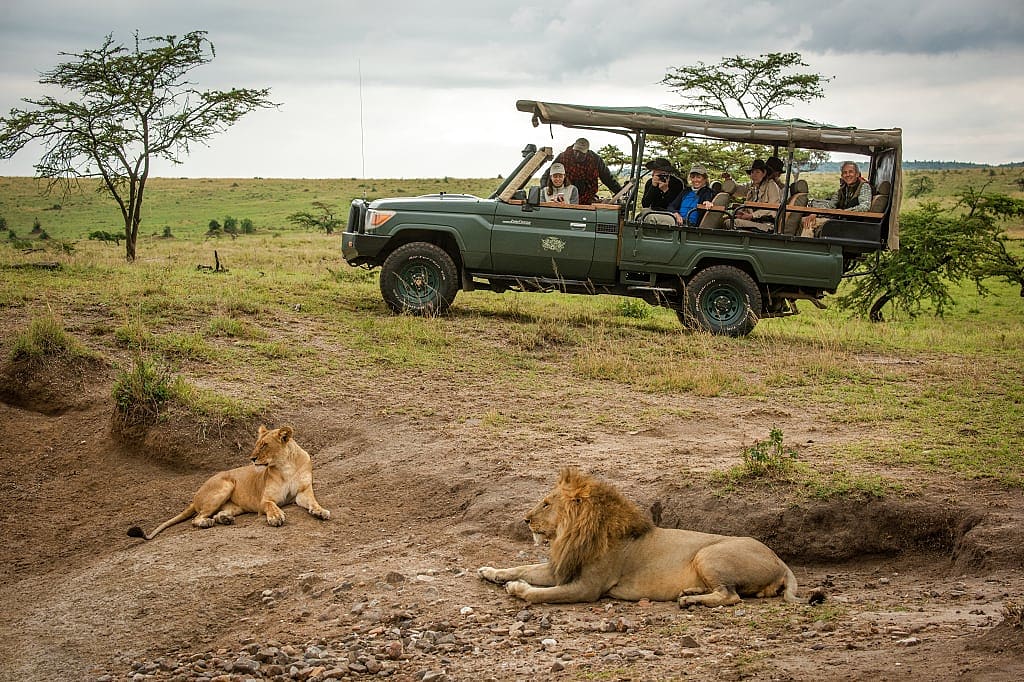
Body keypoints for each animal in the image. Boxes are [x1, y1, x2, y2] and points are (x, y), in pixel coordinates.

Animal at [127, 425, 330, 540]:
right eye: (257, 444)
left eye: (264, 445)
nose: (252, 459)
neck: (285, 465)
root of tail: (195, 497)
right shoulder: (264, 500)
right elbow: (271, 506)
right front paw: (276, 517)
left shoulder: (303, 492)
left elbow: (313, 502)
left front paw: (321, 512)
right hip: (226, 485)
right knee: (196, 518)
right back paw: (207, 523)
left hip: (234, 505)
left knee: (217, 513)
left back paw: (225, 519)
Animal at [478, 467, 799, 607]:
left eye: (546, 503)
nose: (525, 519)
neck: (571, 534)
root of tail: (781, 561)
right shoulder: (561, 568)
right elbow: (522, 567)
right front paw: (490, 571)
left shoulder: (588, 588)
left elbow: (540, 592)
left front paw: (516, 588)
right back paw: (690, 591)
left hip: (708, 554)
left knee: (731, 596)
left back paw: (689, 601)